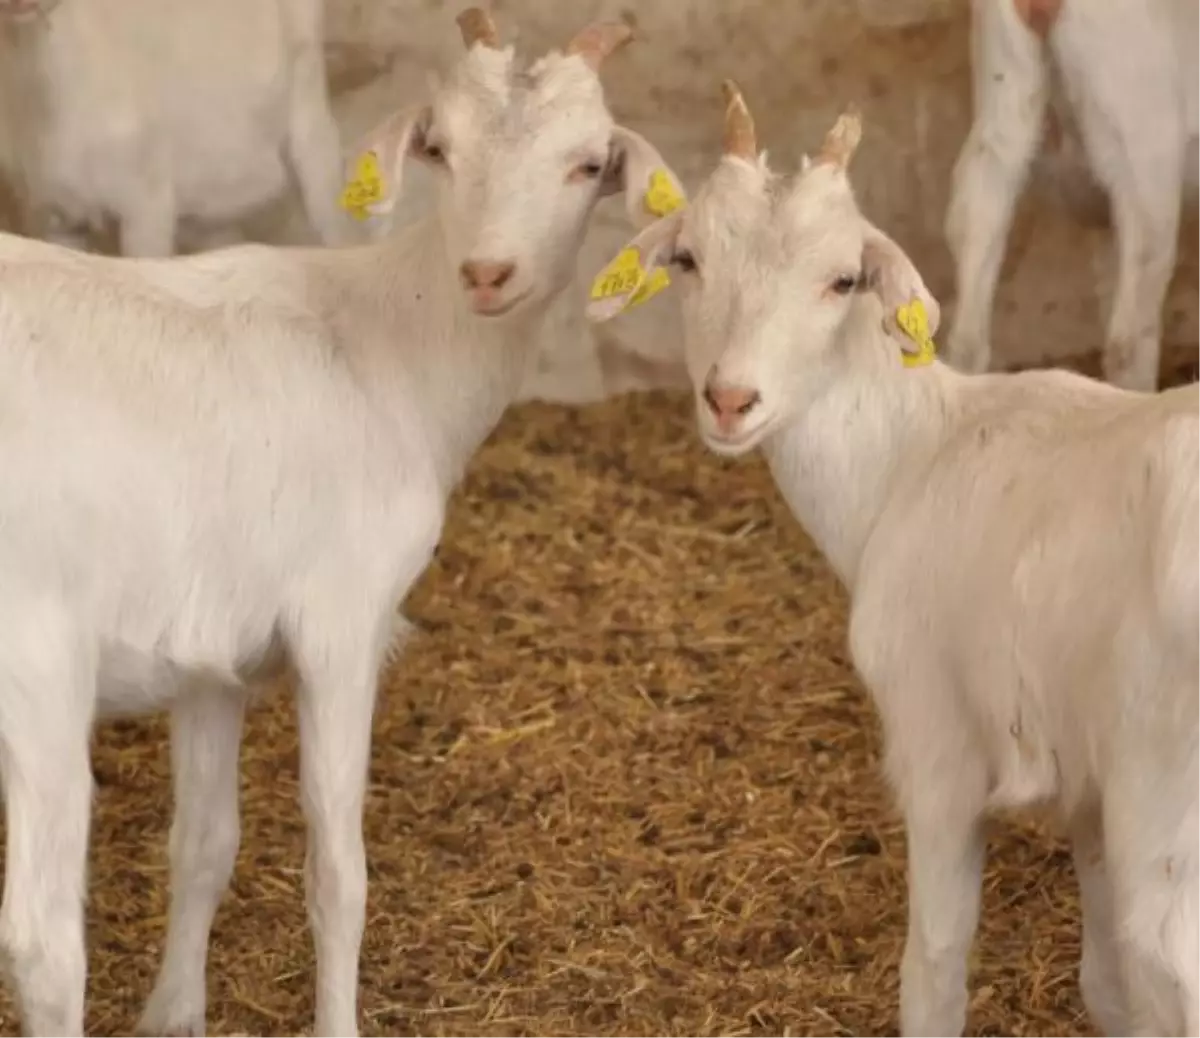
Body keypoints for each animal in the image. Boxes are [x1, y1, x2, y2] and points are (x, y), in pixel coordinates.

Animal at [590, 82, 1200, 1036]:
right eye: (687, 257)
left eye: (844, 279)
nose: (730, 400)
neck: (913, 453)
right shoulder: (1087, 786)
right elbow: (1109, 988)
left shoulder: (939, 747)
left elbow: (935, 967)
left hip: (1166, 799)